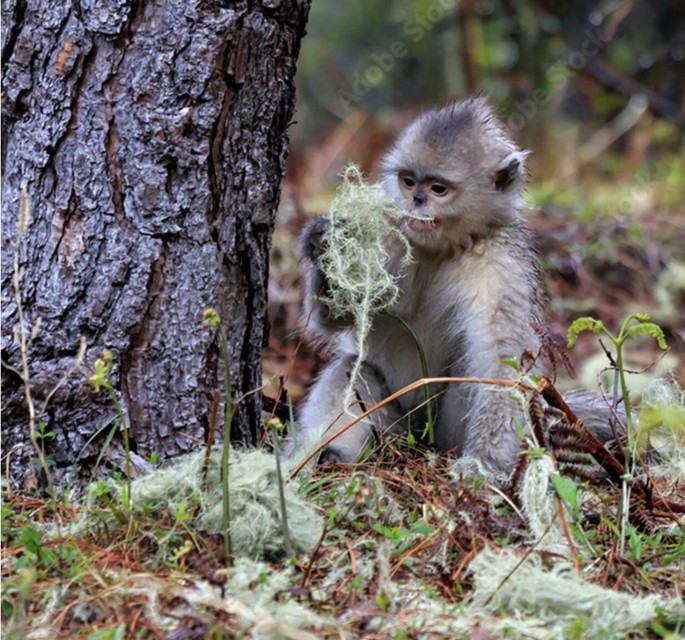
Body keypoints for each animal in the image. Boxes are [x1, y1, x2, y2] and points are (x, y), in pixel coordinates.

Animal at [294, 94, 616, 476]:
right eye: (408, 182)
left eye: (438, 189)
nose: (417, 201)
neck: (444, 249)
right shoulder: (390, 234)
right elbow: (338, 319)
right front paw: (326, 245)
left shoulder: (500, 265)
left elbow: (502, 365)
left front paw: (481, 467)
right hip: (395, 427)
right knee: (351, 370)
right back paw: (323, 458)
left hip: (442, 431)